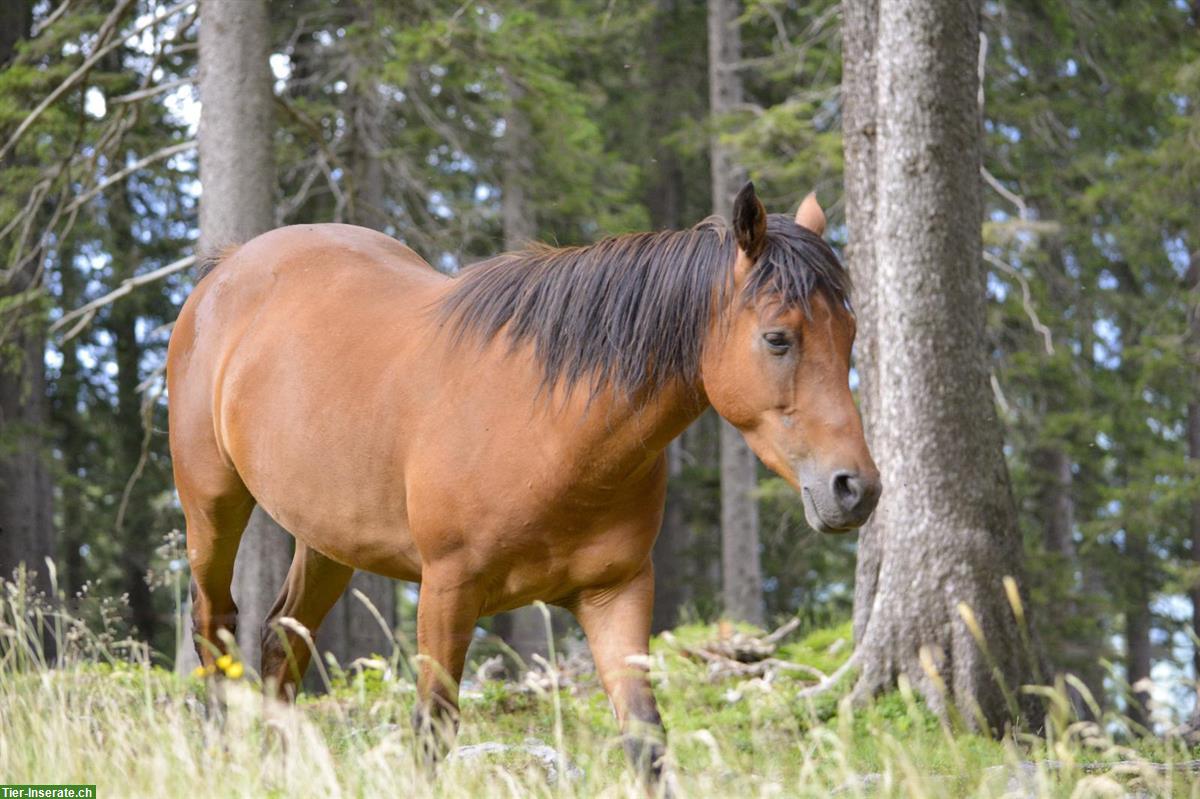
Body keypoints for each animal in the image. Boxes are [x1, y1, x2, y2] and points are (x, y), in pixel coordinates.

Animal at [166, 179, 883, 782]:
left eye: (851, 334)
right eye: (778, 338)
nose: (856, 488)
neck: (552, 431)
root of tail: (229, 266)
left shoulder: (616, 594)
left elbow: (646, 739)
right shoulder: (446, 592)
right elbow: (433, 730)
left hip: (327, 540)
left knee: (281, 642)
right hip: (213, 506)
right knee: (214, 623)